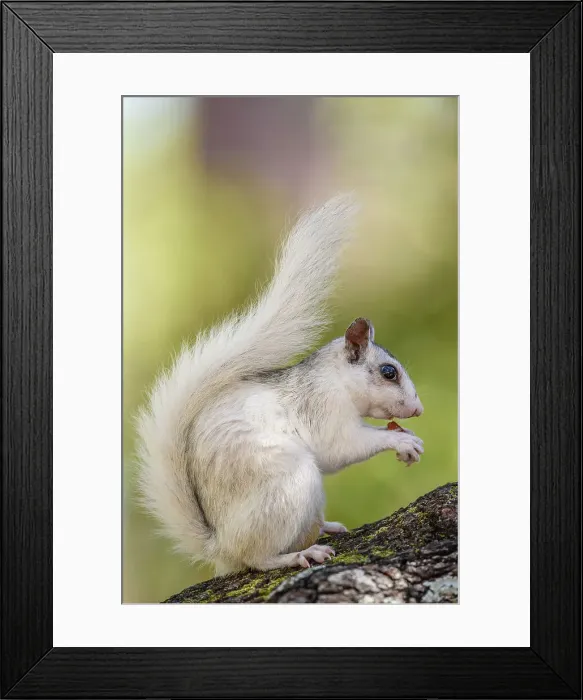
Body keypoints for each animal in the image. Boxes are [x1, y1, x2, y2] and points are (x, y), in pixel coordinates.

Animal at [136, 194, 424, 575]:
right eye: (389, 372)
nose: (418, 409)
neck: (335, 378)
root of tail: (221, 546)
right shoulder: (322, 407)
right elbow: (341, 447)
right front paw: (400, 440)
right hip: (289, 485)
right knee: (258, 558)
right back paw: (299, 555)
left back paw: (326, 527)